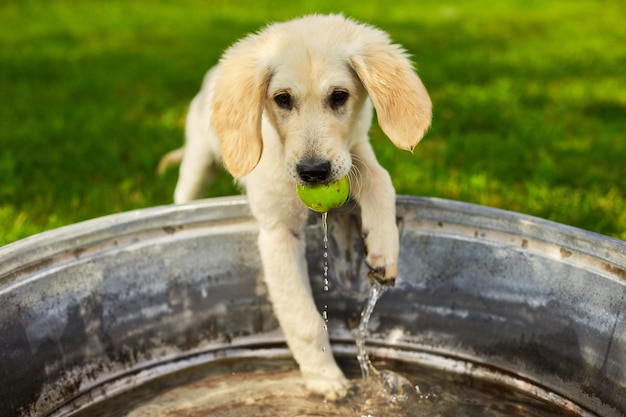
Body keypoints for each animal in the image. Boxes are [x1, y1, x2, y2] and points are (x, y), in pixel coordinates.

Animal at [158, 13, 428, 396]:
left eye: (339, 96)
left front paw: (384, 251)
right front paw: (325, 378)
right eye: (282, 99)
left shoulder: (354, 149)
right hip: (199, 159)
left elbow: (380, 179)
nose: (314, 172)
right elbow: (304, 319)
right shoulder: (278, 233)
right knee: (184, 192)